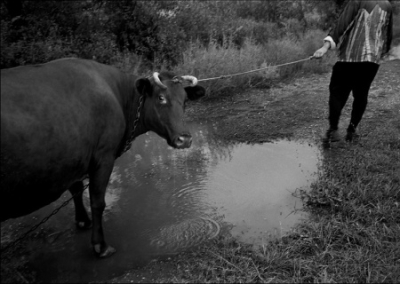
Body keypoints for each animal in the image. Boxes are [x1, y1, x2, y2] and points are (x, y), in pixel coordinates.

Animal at [0, 57, 206, 258]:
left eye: (185, 101)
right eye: (161, 98)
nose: (185, 139)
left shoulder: (74, 159)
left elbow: (76, 188)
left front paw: (83, 221)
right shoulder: (103, 157)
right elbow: (97, 202)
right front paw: (100, 245)